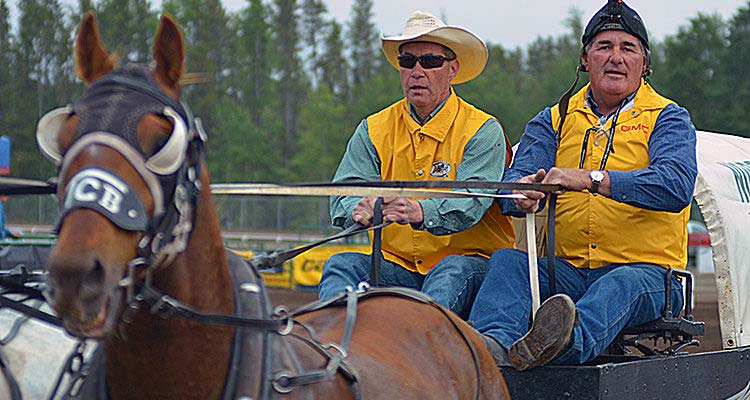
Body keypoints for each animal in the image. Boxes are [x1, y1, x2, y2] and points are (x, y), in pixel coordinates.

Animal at [39, 13, 512, 400]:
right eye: (63, 138)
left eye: (163, 141)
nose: (77, 274)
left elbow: (468, 195)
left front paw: (405, 208)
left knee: (454, 270)